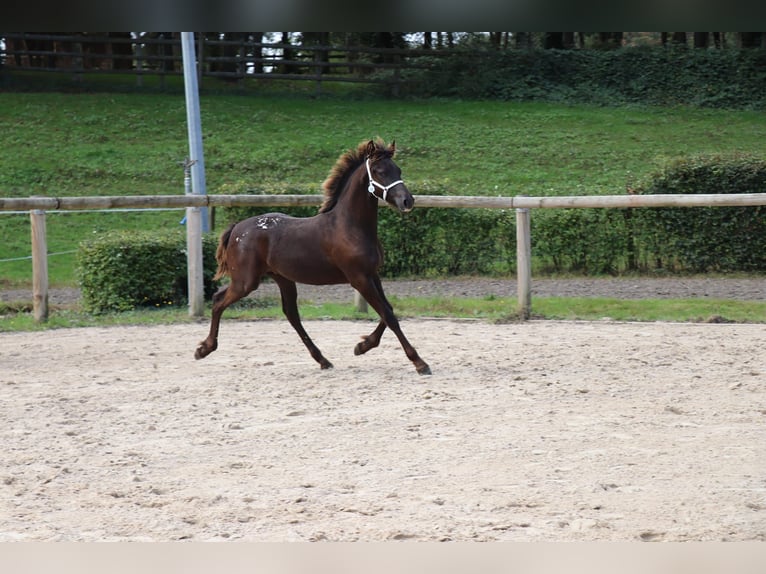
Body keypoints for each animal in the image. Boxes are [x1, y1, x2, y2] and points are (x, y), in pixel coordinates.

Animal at [195, 137, 432, 376]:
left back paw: (323, 360)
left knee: (290, 314)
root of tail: (236, 228)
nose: (407, 201)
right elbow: (389, 316)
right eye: (379, 171)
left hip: (282, 278)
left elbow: (388, 310)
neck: (349, 227)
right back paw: (204, 349)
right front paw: (419, 362)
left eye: (398, 170)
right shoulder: (359, 279)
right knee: (219, 301)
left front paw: (362, 345)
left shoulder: (372, 275)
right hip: (246, 282)